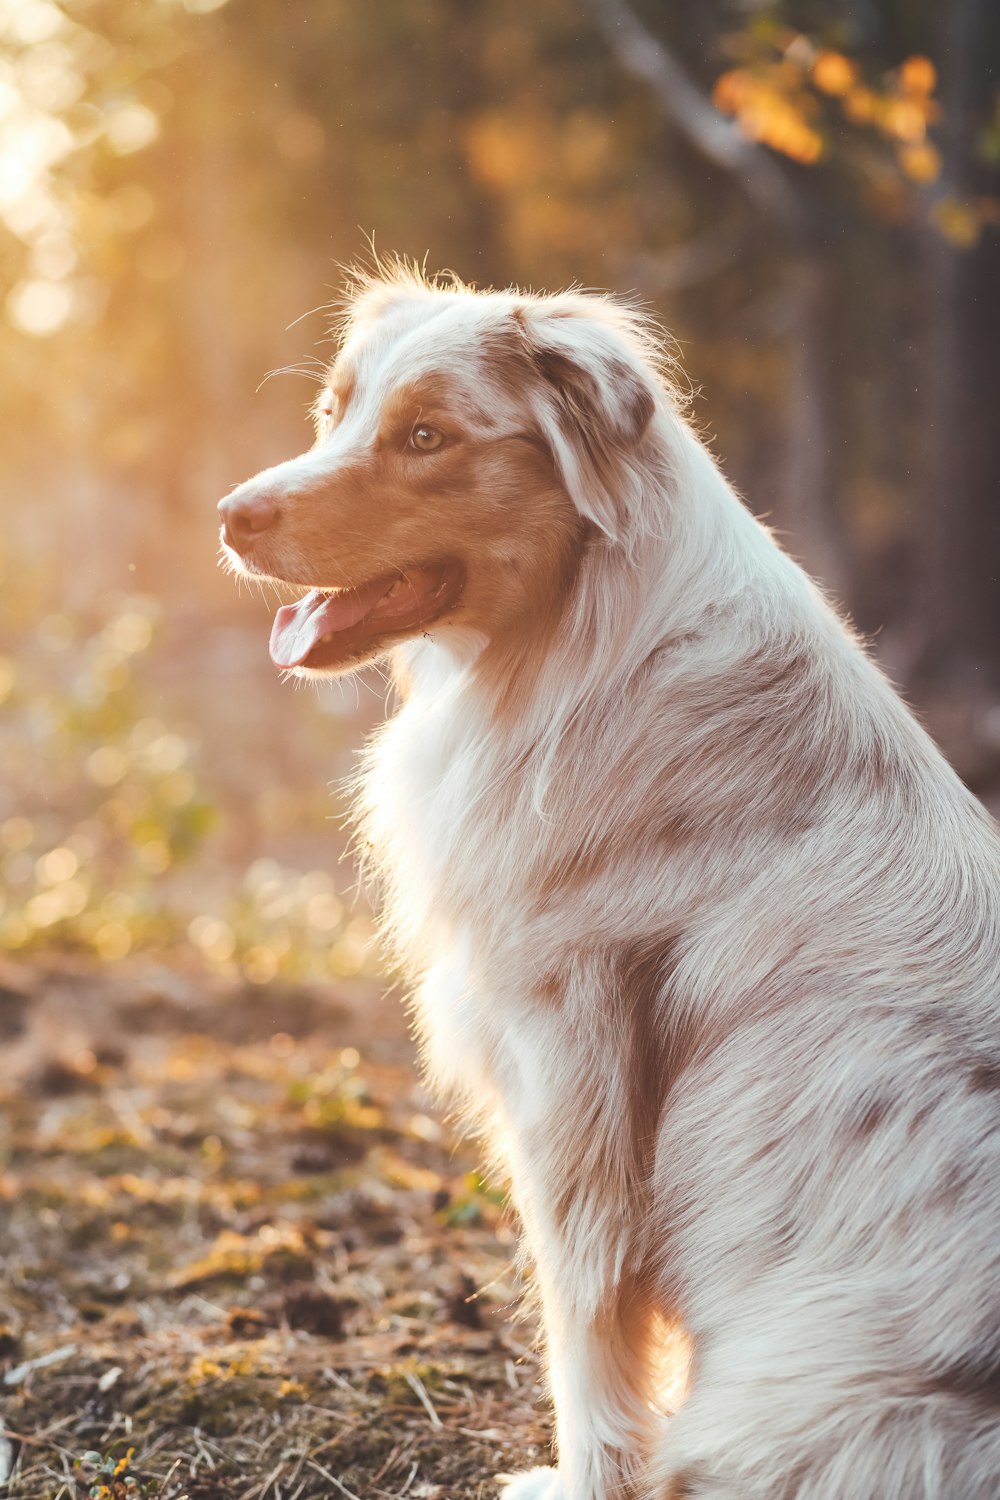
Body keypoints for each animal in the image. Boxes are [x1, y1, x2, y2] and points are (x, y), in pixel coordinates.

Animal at [218, 270, 1000, 1500]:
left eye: (427, 436)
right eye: (333, 413)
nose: (232, 515)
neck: (579, 642)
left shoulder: (569, 1067)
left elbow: (583, 1313)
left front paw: (588, 1479)